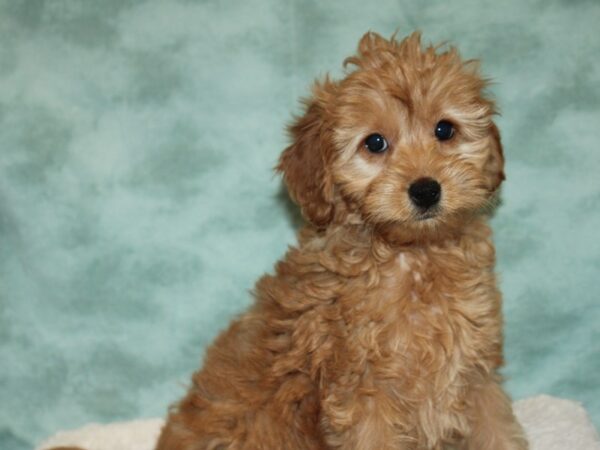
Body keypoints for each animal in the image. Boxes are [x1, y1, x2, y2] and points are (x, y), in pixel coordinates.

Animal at [156, 31, 528, 450]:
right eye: (375, 143)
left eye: (444, 130)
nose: (426, 190)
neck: (412, 257)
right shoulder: (362, 390)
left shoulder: (476, 372)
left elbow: (497, 429)